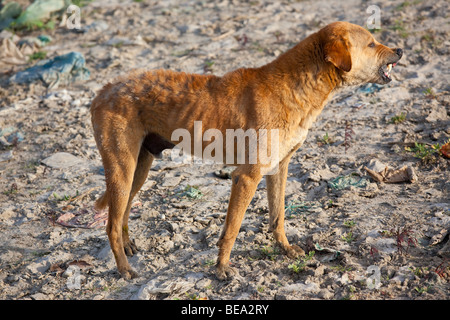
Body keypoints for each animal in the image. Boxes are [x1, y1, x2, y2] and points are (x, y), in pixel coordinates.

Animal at [89, 21, 402, 280]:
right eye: (371, 43)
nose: (400, 49)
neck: (295, 86)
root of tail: (102, 90)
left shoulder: (279, 168)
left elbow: (278, 217)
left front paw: (285, 249)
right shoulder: (247, 177)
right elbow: (232, 229)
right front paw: (221, 268)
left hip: (139, 168)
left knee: (124, 213)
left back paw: (128, 247)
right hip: (122, 170)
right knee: (111, 225)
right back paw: (124, 269)